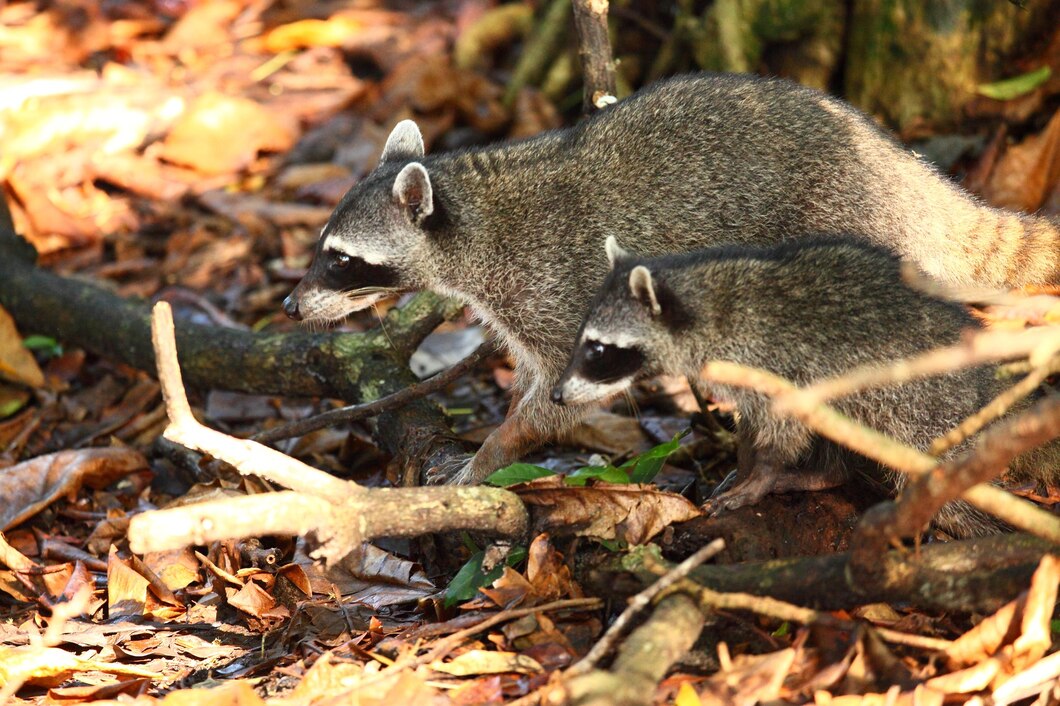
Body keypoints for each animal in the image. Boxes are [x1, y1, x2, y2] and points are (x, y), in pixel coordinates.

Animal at [281, 74, 1060, 487]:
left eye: (340, 260)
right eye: (322, 249)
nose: (288, 304)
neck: (472, 214)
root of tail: (910, 175)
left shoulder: (558, 287)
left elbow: (563, 394)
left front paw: (493, 451)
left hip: (841, 230)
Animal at [555, 236, 1060, 534]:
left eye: (598, 350)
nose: (557, 394)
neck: (703, 308)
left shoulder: (777, 363)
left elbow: (784, 431)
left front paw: (760, 475)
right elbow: (753, 426)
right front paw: (744, 463)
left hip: (933, 414)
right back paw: (826, 474)